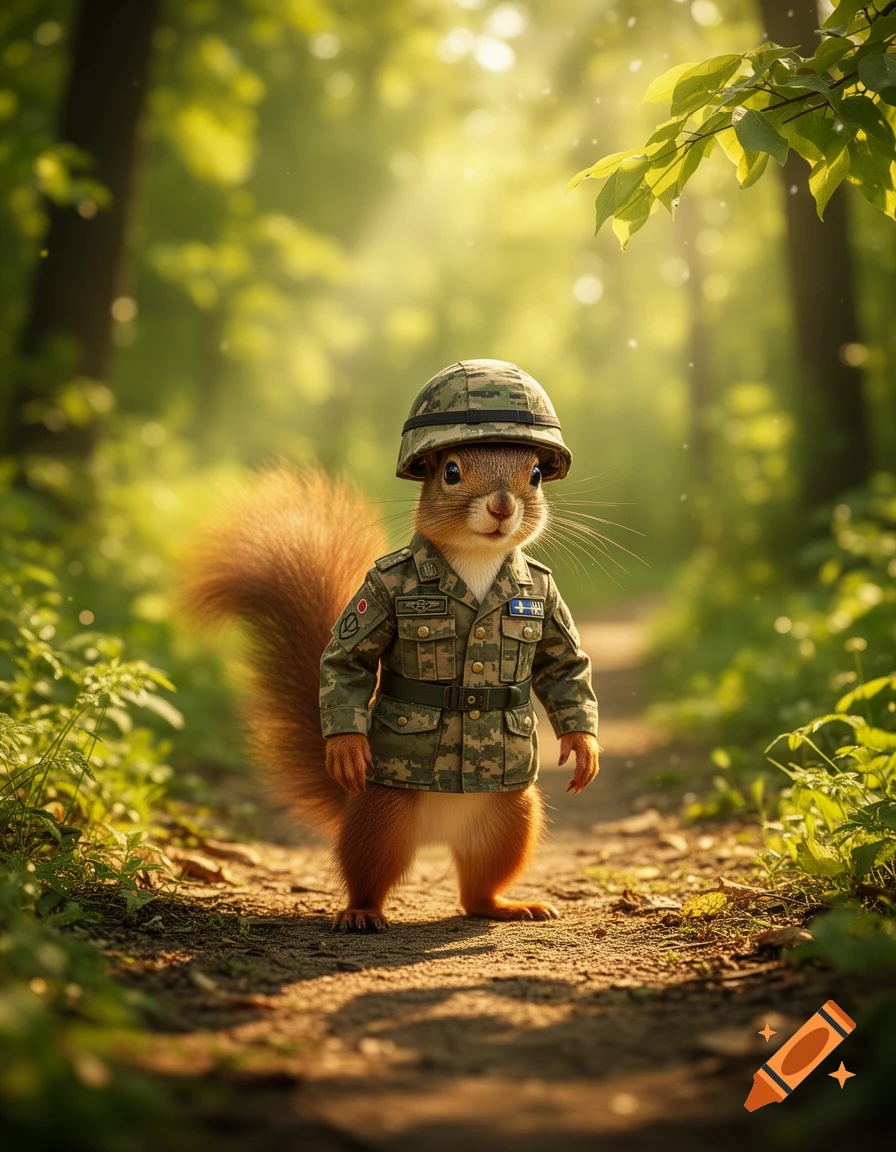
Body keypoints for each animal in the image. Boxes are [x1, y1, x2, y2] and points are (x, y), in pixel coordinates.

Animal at [185, 360, 601, 932]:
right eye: (451, 471)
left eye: (535, 475)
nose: (501, 506)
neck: (476, 560)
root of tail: (436, 835)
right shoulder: (377, 592)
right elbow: (346, 661)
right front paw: (346, 747)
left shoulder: (550, 600)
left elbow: (565, 665)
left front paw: (584, 749)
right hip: (384, 816)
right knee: (370, 870)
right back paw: (362, 910)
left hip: (510, 816)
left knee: (475, 889)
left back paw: (507, 905)